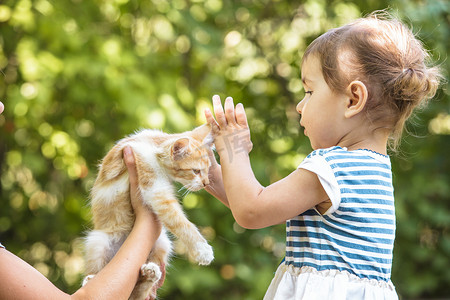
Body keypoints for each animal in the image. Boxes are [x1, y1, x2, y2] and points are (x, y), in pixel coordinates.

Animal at [84, 123, 214, 298]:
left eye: (207, 170)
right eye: (196, 171)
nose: (206, 183)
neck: (153, 147)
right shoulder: (155, 190)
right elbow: (180, 221)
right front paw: (202, 249)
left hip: (162, 242)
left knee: (137, 293)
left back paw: (150, 273)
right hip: (98, 241)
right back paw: (89, 279)